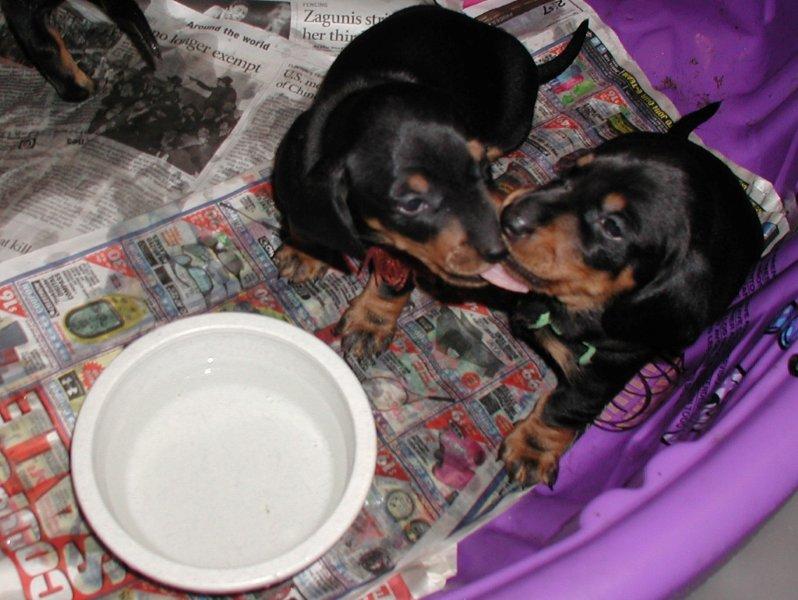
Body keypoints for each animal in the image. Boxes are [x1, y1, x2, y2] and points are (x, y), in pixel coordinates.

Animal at [273, 5, 588, 358]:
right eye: (412, 203)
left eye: (482, 167)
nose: (505, 251)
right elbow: (311, 218)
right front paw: (304, 252)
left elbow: (393, 282)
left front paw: (371, 323)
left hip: (513, 122)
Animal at [481, 103, 764, 487]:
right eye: (574, 176)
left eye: (613, 227)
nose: (510, 216)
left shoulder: (605, 371)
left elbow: (564, 408)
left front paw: (532, 450)